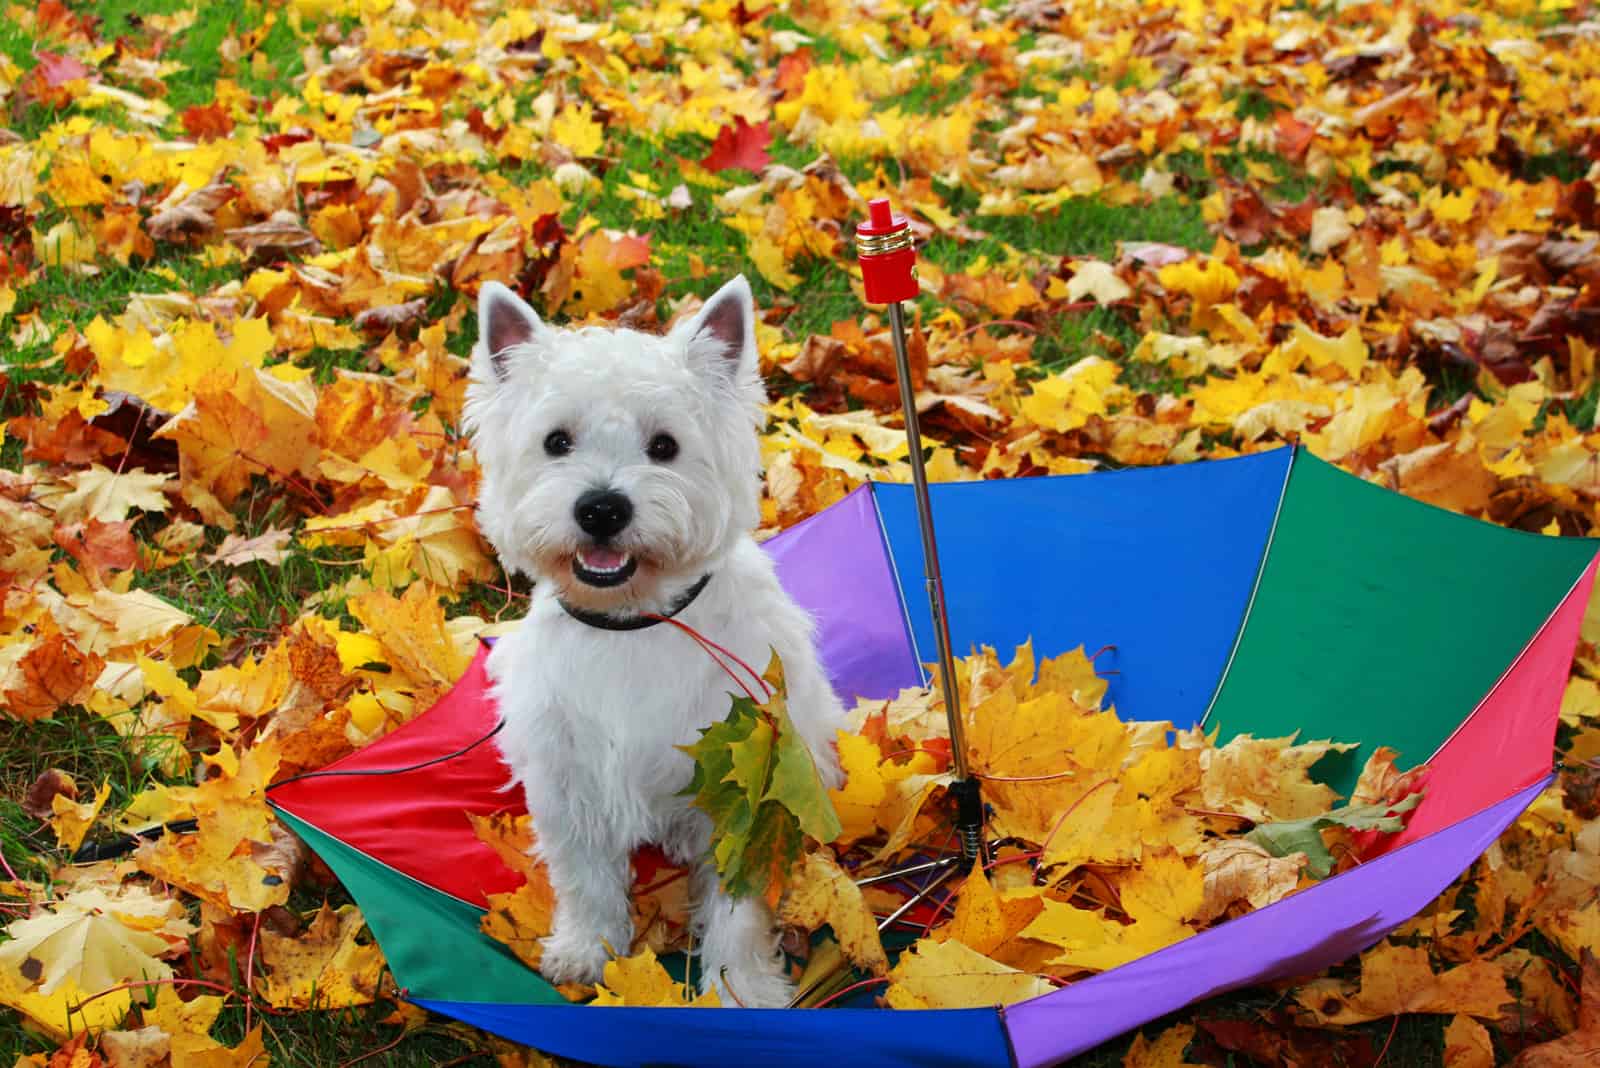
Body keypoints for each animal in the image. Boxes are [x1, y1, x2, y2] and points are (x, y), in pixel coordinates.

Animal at [467, 274, 851, 1010]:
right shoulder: (569, 778)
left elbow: (738, 904)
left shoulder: (744, 788)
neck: (632, 625)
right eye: (556, 441)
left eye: (665, 446)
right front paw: (586, 951)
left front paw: (743, 989)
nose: (602, 508)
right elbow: (584, 878)